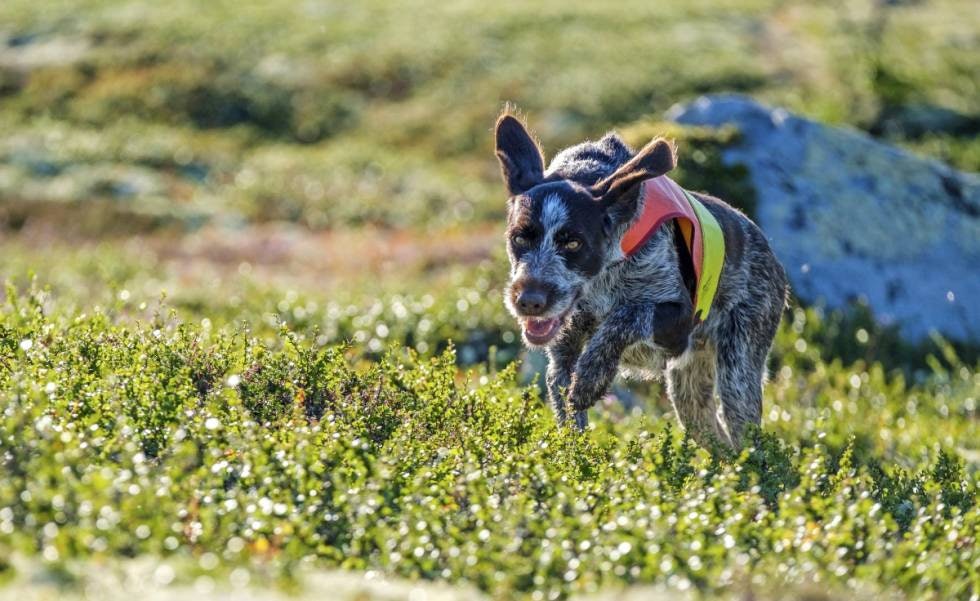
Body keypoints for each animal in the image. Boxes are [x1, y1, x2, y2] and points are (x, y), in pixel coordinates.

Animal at [498, 112, 788, 448]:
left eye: (573, 243)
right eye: (519, 238)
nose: (529, 302)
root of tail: (773, 256)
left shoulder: (679, 325)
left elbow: (627, 315)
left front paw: (592, 376)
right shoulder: (561, 358)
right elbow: (569, 415)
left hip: (737, 376)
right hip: (691, 398)